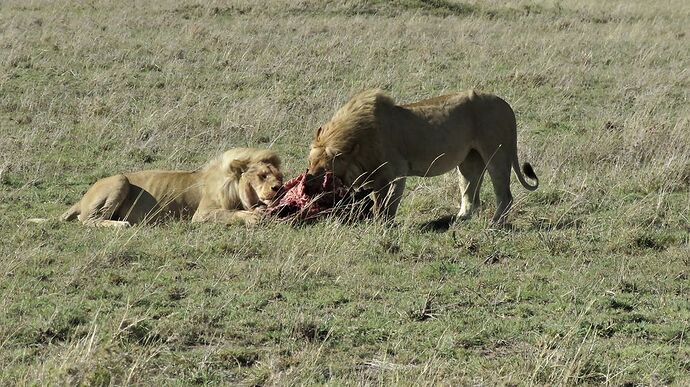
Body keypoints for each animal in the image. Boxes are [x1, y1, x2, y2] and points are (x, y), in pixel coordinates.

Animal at [59, 148, 282, 227]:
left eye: (280, 176)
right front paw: (254, 217)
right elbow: (230, 213)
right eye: (262, 175)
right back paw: (121, 225)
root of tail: (81, 199)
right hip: (120, 180)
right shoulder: (201, 214)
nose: (278, 187)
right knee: (88, 221)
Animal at [306, 88, 536, 224]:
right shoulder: (375, 178)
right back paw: (460, 218)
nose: (306, 179)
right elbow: (379, 201)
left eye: (323, 170)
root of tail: (505, 104)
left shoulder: (397, 172)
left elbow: (389, 202)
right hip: (469, 160)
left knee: (504, 194)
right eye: (309, 163)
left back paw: (495, 223)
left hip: (497, 153)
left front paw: (384, 225)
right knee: (470, 193)